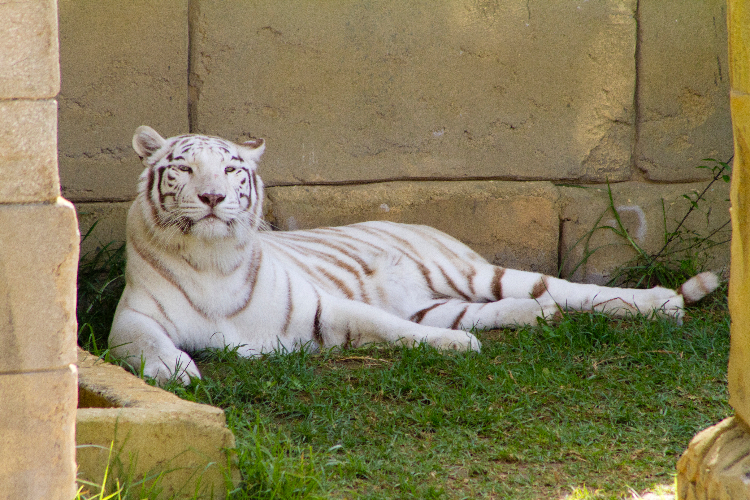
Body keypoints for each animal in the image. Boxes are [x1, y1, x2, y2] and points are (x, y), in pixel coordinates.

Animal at [108, 127, 724, 384]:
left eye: (232, 169)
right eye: (185, 168)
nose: (213, 197)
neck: (213, 259)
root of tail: (420, 221)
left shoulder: (322, 307)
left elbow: (390, 327)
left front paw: (456, 350)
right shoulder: (130, 318)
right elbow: (146, 343)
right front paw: (174, 369)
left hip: (471, 271)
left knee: (567, 288)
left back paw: (662, 303)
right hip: (442, 299)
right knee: (513, 306)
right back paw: (535, 318)